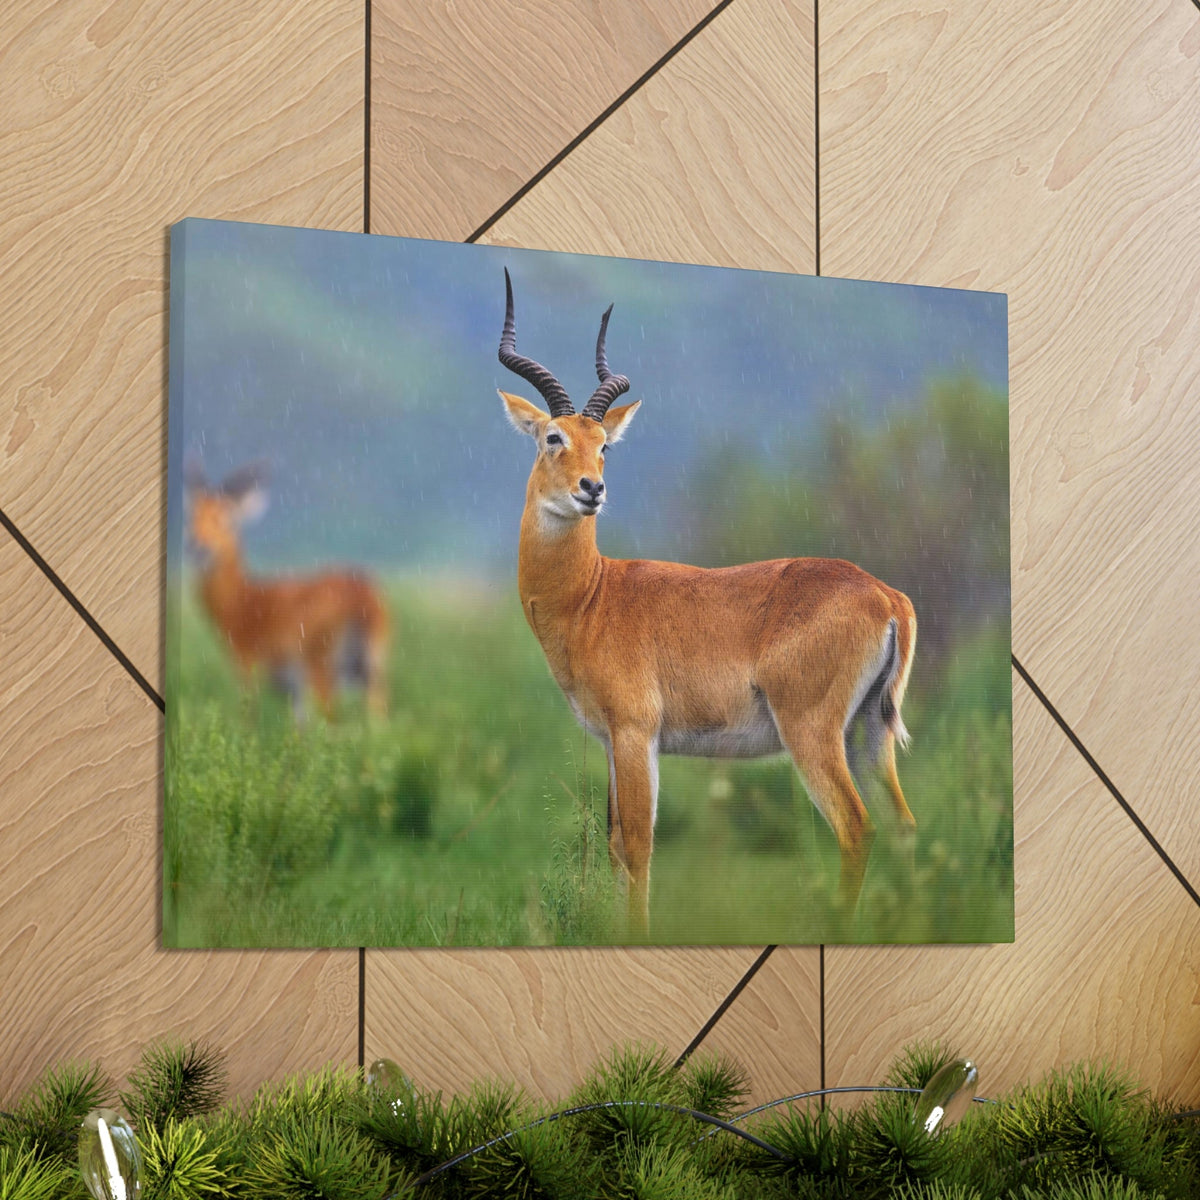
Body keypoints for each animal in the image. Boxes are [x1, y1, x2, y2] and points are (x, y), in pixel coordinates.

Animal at [184, 459, 389, 721]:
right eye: (191, 517)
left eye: (225, 518)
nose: (197, 546)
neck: (242, 601)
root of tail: (362, 593)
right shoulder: (295, 692)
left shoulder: (247, 666)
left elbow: (248, 717)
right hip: (371, 668)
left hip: (322, 668)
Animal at [498, 269, 917, 932]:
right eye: (553, 437)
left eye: (605, 445)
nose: (593, 489)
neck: (591, 596)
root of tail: (885, 596)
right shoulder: (612, 740)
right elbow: (615, 845)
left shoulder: (635, 731)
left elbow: (638, 845)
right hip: (869, 732)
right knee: (904, 828)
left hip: (813, 733)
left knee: (858, 828)